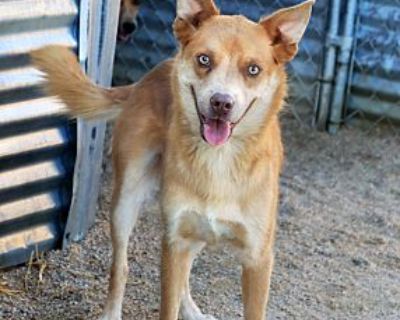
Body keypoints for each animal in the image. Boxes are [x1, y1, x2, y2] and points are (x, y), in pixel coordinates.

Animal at [31, 1, 314, 318]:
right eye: (204, 59)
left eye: (253, 69)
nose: (221, 103)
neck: (220, 160)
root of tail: (147, 76)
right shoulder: (174, 241)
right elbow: (168, 302)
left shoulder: (257, 257)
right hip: (126, 200)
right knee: (121, 267)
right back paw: (112, 311)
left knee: (184, 278)